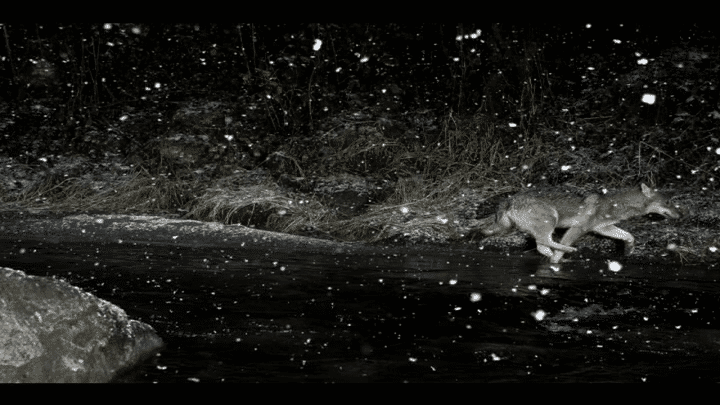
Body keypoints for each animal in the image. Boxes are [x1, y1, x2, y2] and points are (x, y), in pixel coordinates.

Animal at [484, 183, 680, 262]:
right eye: (668, 202)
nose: (681, 214)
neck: (615, 205)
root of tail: (510, 200)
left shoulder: (603, 229)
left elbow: (629, 236)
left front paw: (629, 250)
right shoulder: (578, 228)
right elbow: (559, 252)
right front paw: (557, 261)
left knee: (542, 246)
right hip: (551, 220)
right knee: (544, 243)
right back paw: (568, 251)